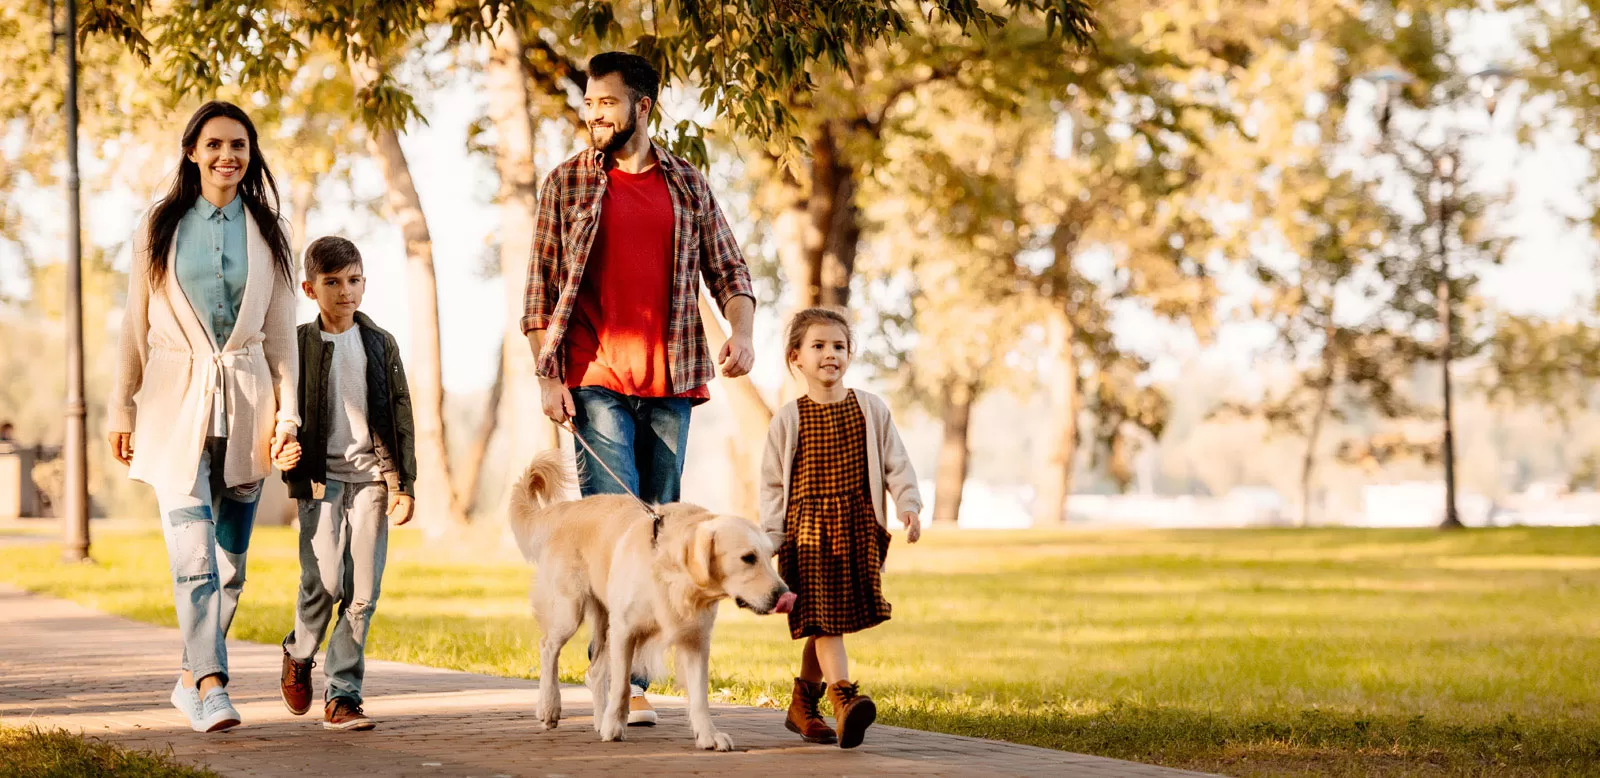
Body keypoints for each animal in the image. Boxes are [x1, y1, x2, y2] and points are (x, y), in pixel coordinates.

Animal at [505, 451, 793, 749]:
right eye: (748, 558)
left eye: (769, 556)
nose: (784, 595)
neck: (672, 576)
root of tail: (568, 508)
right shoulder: (625, 630)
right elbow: (621, 685)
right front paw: (614, 727)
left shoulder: (695, 637)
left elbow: (699, 696)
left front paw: (708, 735)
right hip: (570, 609)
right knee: (548, 647)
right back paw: (550, 707)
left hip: (603, 619)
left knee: (596, 670)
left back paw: (599, 718)